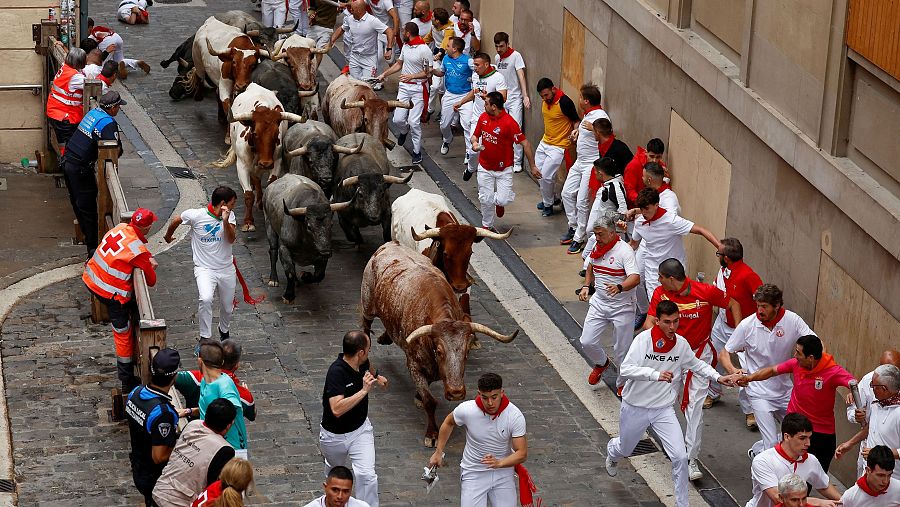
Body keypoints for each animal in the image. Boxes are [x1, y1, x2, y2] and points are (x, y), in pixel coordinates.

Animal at [213, 84, 304, 232]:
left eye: (276, 134)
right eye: (255, 133)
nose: (265, 164)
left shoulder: (276, 161)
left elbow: (271, 182)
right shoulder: (242, 165)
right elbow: (249, 194)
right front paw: (248, 222)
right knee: (255, 178)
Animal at [356, 244, 512, 446]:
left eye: (466, 352)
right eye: (439, 351)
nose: (456, 392)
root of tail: (389, 245)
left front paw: (418, 397)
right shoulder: (414, 364)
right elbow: (430, 401)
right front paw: (432, 434)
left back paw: (386, 337)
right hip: (367, 302)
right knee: (365, 326)